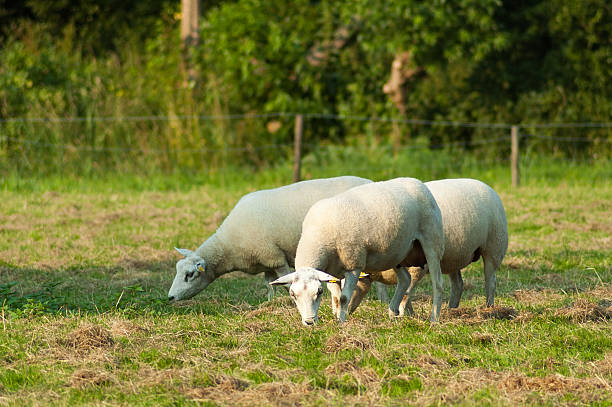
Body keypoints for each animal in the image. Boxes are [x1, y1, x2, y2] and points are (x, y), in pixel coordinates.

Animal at [165, 176, 372, 302]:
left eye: (189, 275)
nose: (170, 298)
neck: (228, 246)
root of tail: (370, 181)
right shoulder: (266, 263)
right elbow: (269, 286)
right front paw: (269, 303)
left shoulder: (274, 257)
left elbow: (286, 283)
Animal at [270, 178, 442, 326]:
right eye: (292, 294)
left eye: (319, 292)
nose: (309, 322)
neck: (318, 235)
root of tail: (417, 182)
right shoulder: (331, 272)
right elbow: (337, 297)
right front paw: (337, 317)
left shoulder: (354, 265)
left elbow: (344, 298)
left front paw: (341, 322)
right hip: (397, 253)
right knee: (405, 279)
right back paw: (392, 314)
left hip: (431, 240)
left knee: (437, 282)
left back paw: (434, 319)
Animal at [342, 178, 510, 316]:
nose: (343, 313)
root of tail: (486, 185)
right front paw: (409, 314)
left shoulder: (417, 268)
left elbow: (406, 293)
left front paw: (402, 314)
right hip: (454, 256)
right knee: (458, 285)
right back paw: (452, 309)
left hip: (494, 247)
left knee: (490, 282)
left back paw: (490, 309)